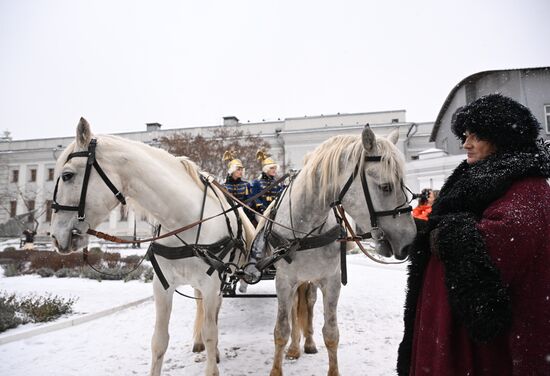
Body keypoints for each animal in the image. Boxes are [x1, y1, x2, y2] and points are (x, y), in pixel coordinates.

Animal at [48, 118, 256, 376]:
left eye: (67, 175)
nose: (55, 237)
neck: (183, 223)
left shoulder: (211, 284)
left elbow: (211, 333)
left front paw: (211, 361)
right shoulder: (162, 286)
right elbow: (159, 340)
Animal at [260, 125, 418, 376]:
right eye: (386, 186)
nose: (410, 242)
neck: (306, 227)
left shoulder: (331, 280)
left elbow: (331, 333)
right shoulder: (284, 281)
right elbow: (281, 329)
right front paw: (277, 367)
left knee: (308, 304)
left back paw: (306, 343)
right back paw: (294, 348)